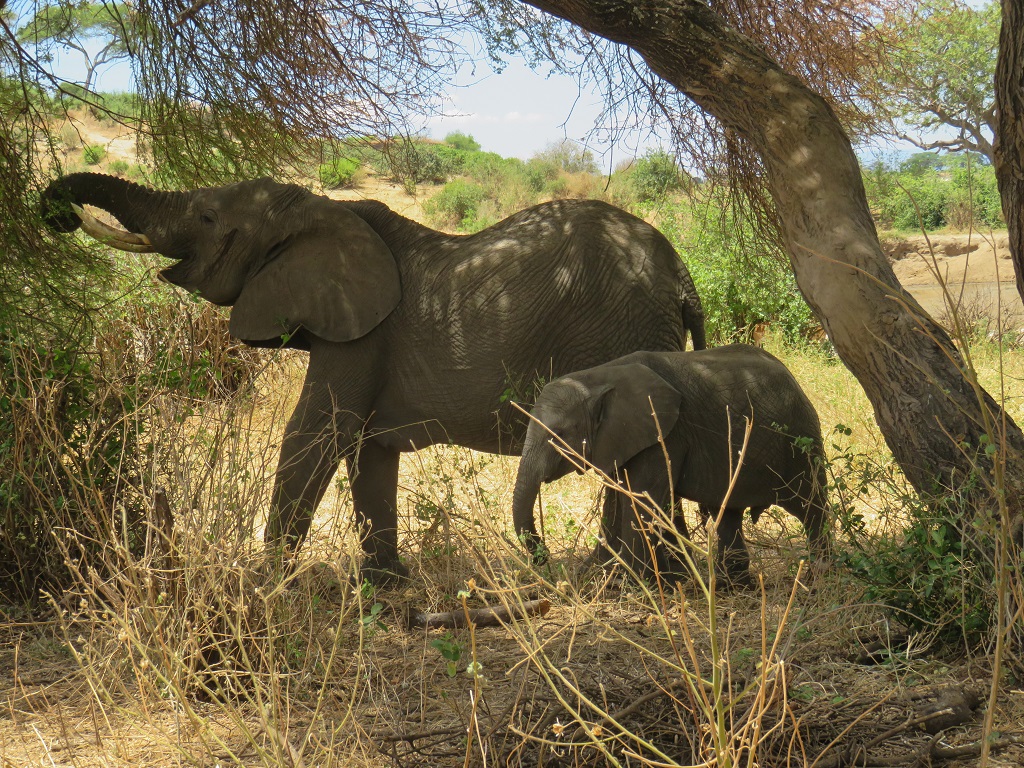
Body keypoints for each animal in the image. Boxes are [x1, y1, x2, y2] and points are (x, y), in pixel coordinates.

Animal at [41, 174, 712, 581]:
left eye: (206, 217)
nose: (58, 213)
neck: (320, 210)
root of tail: (683, 275)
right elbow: (367, 450)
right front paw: (385, 587)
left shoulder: (360, 336)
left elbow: (317, 434)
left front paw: (265, 583)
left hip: (625, 330)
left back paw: (635, 577)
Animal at [512, 346, 831, 585]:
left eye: (558, 434)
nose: (543, 558)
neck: (597, 377)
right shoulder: (621, 437)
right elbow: (617, 497)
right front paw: (595, 576)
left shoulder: (665, 434)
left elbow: (641, 499)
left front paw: (633, 584)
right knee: (729, 512)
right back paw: (731, 586)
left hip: (801, 439)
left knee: (812, 507)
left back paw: (819, 577)